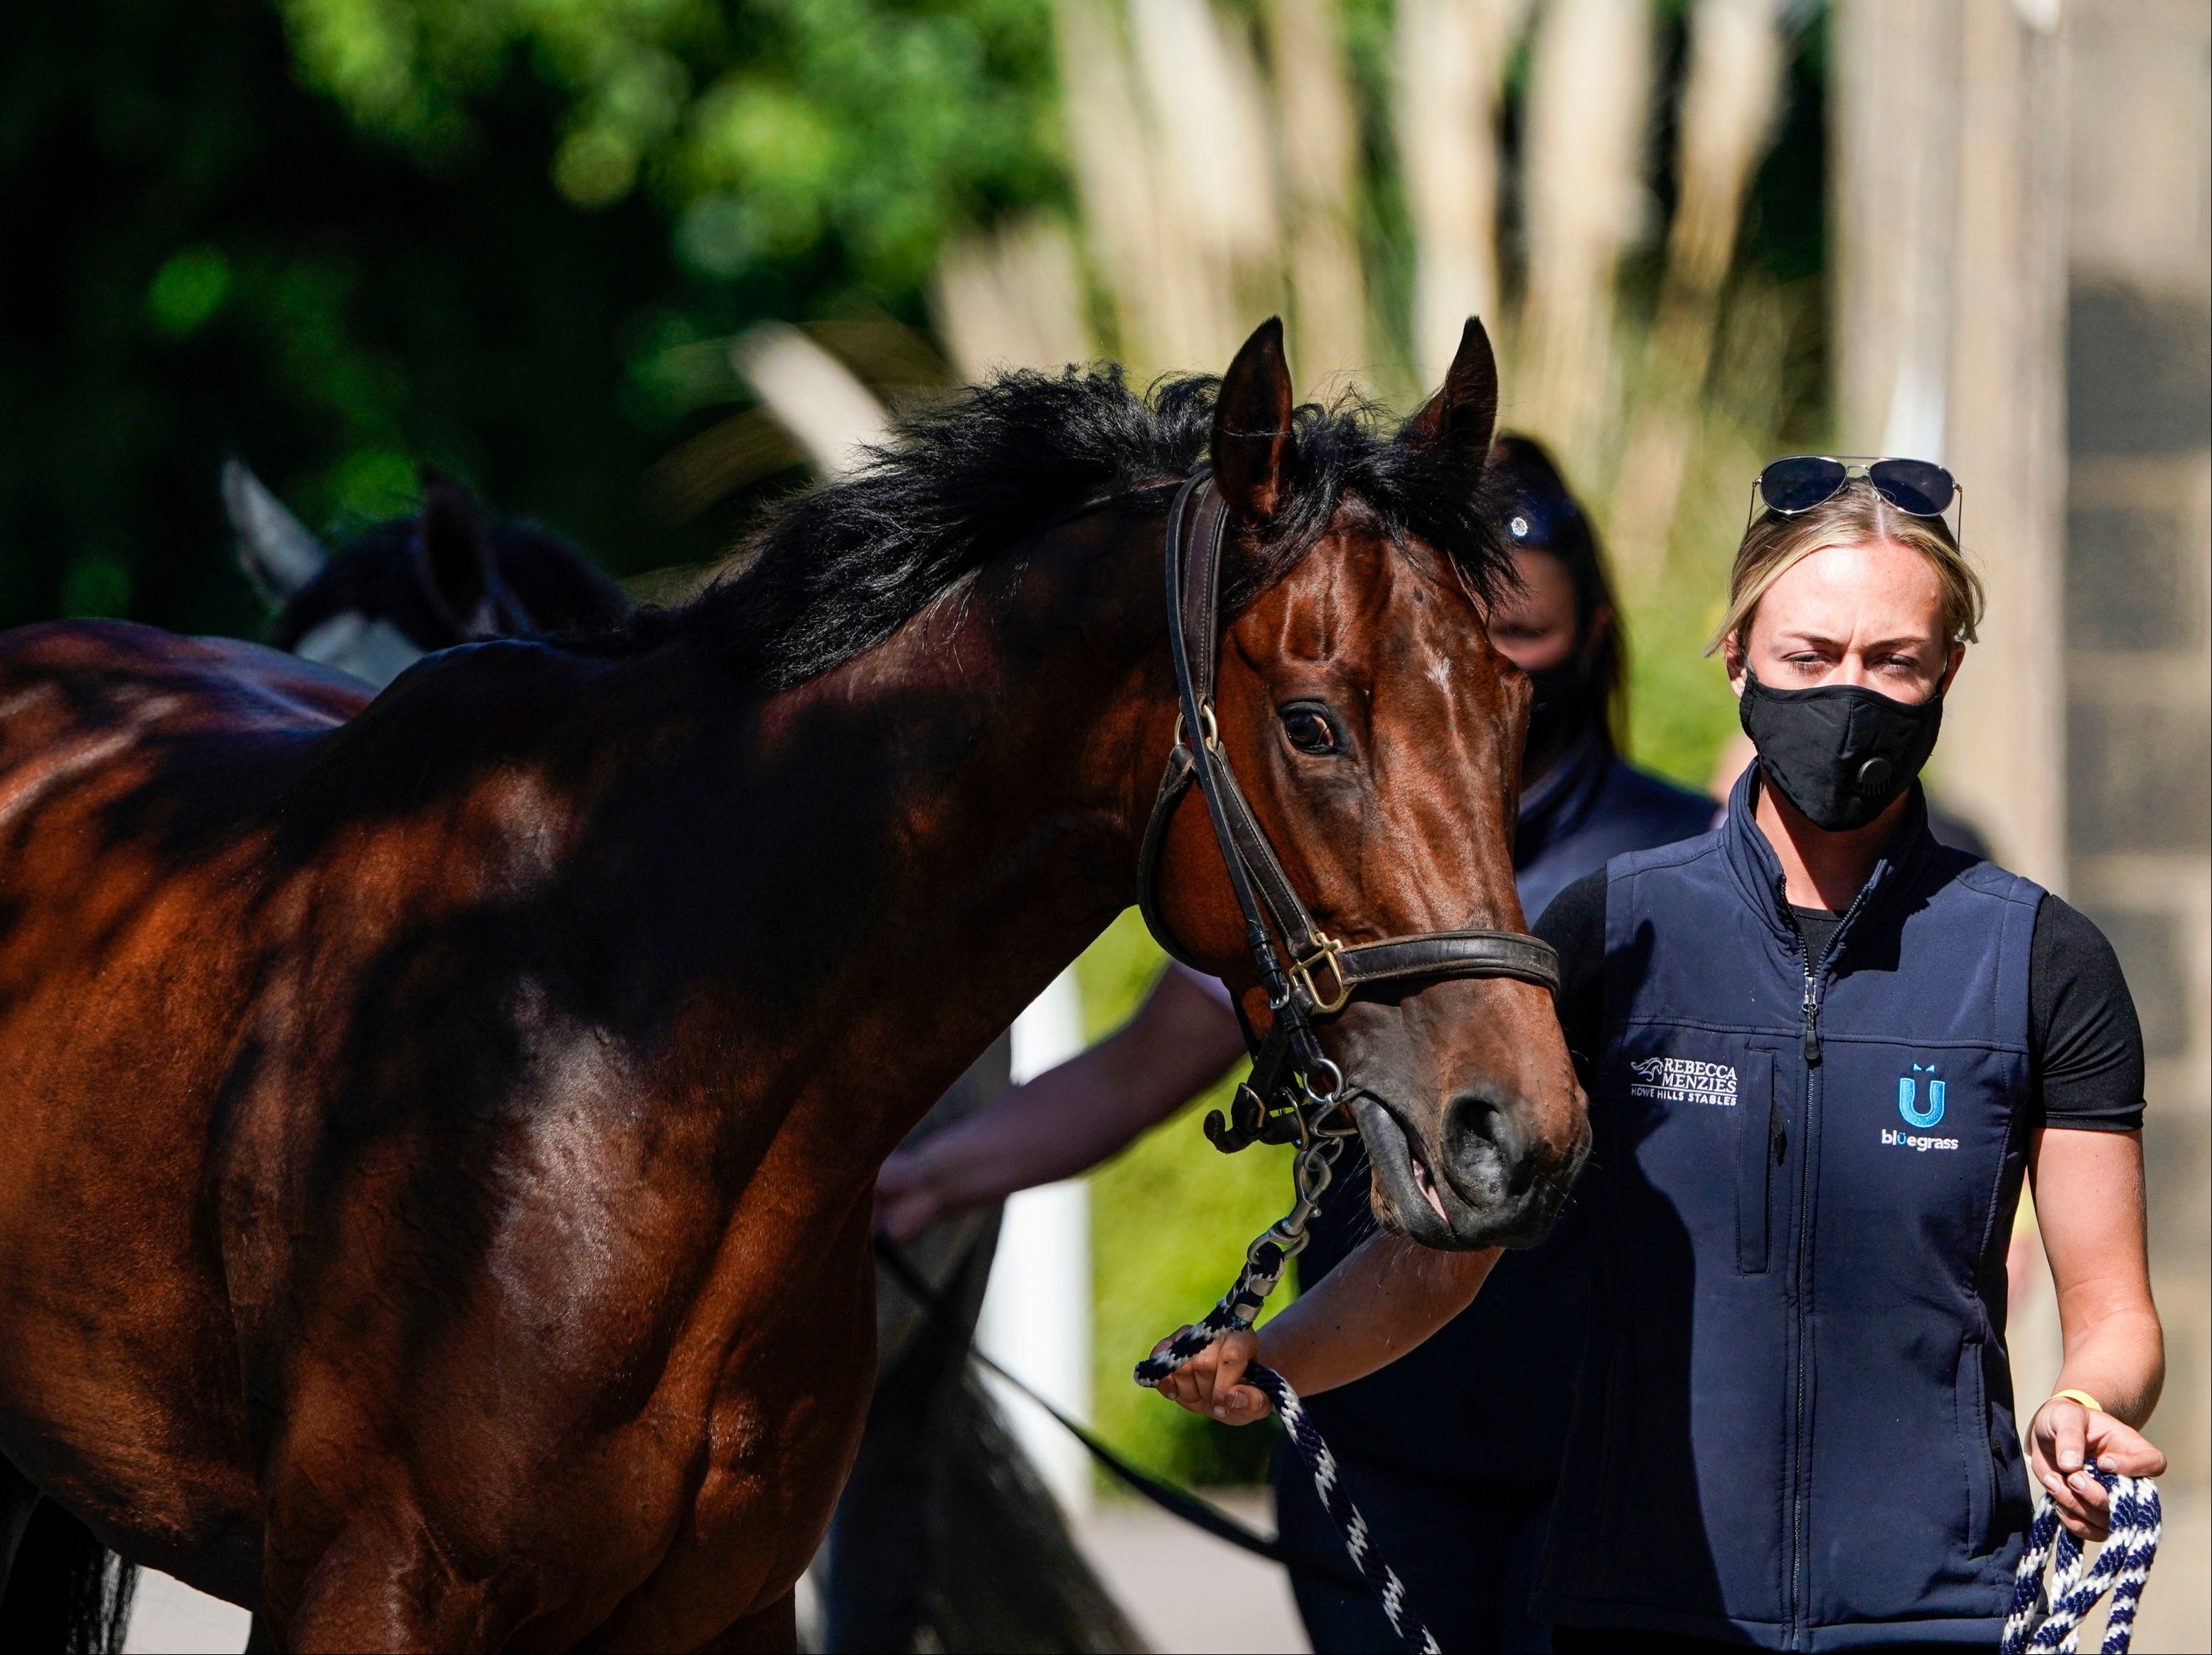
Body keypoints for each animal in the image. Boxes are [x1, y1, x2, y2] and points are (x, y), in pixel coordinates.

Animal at [0, 316, 1583, 1646]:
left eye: (1512, 706)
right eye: (1313, 724)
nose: (1517, 1135)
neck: (612, 1039)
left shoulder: (725, 1605)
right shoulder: (359, 1589)